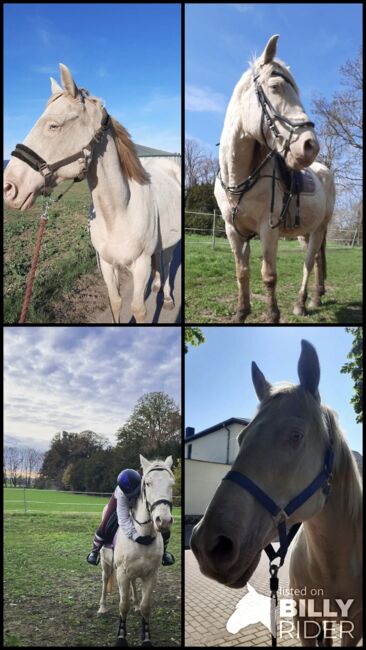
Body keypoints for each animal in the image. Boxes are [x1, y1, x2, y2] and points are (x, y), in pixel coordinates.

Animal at [2, 63, 180, 322]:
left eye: (53, 125)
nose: (9, 187)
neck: (119, 212)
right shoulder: (107, 264)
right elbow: (116, 302)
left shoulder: (140, 266)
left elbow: (138, 309)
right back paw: (156, 285)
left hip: (170, 244)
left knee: (167, 261)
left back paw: (166, 297)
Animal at [98, 454, 174, 644]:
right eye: (147, 483)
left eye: (171, 483)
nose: (163, 520)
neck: (143, 536)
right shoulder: (122, 574)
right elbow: (123, 605)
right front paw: (121, 637)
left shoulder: (151, 575)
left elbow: (146, 606)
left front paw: (146, 638)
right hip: (106, 564)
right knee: (104, 580)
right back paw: (102, 607)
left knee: (133, 584)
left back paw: (136, 603)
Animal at [193, 342, 362, 644]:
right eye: (241, 438)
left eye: (296, 435)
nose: (208, 544)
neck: (333, 559)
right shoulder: (305, 620)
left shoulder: (354, 627)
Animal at [214, 35, 338, 322]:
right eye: (275, 86)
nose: (310, 146)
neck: (238, 178)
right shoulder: (233, 230)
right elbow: (242, 273)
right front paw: (241, 312)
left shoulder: (267, 228)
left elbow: (268, 275)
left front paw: (272, 315)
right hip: (306, 230)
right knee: (316, 260)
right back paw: (316, 297)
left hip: (319, 228)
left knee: (308, 262)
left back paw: (302, 303)